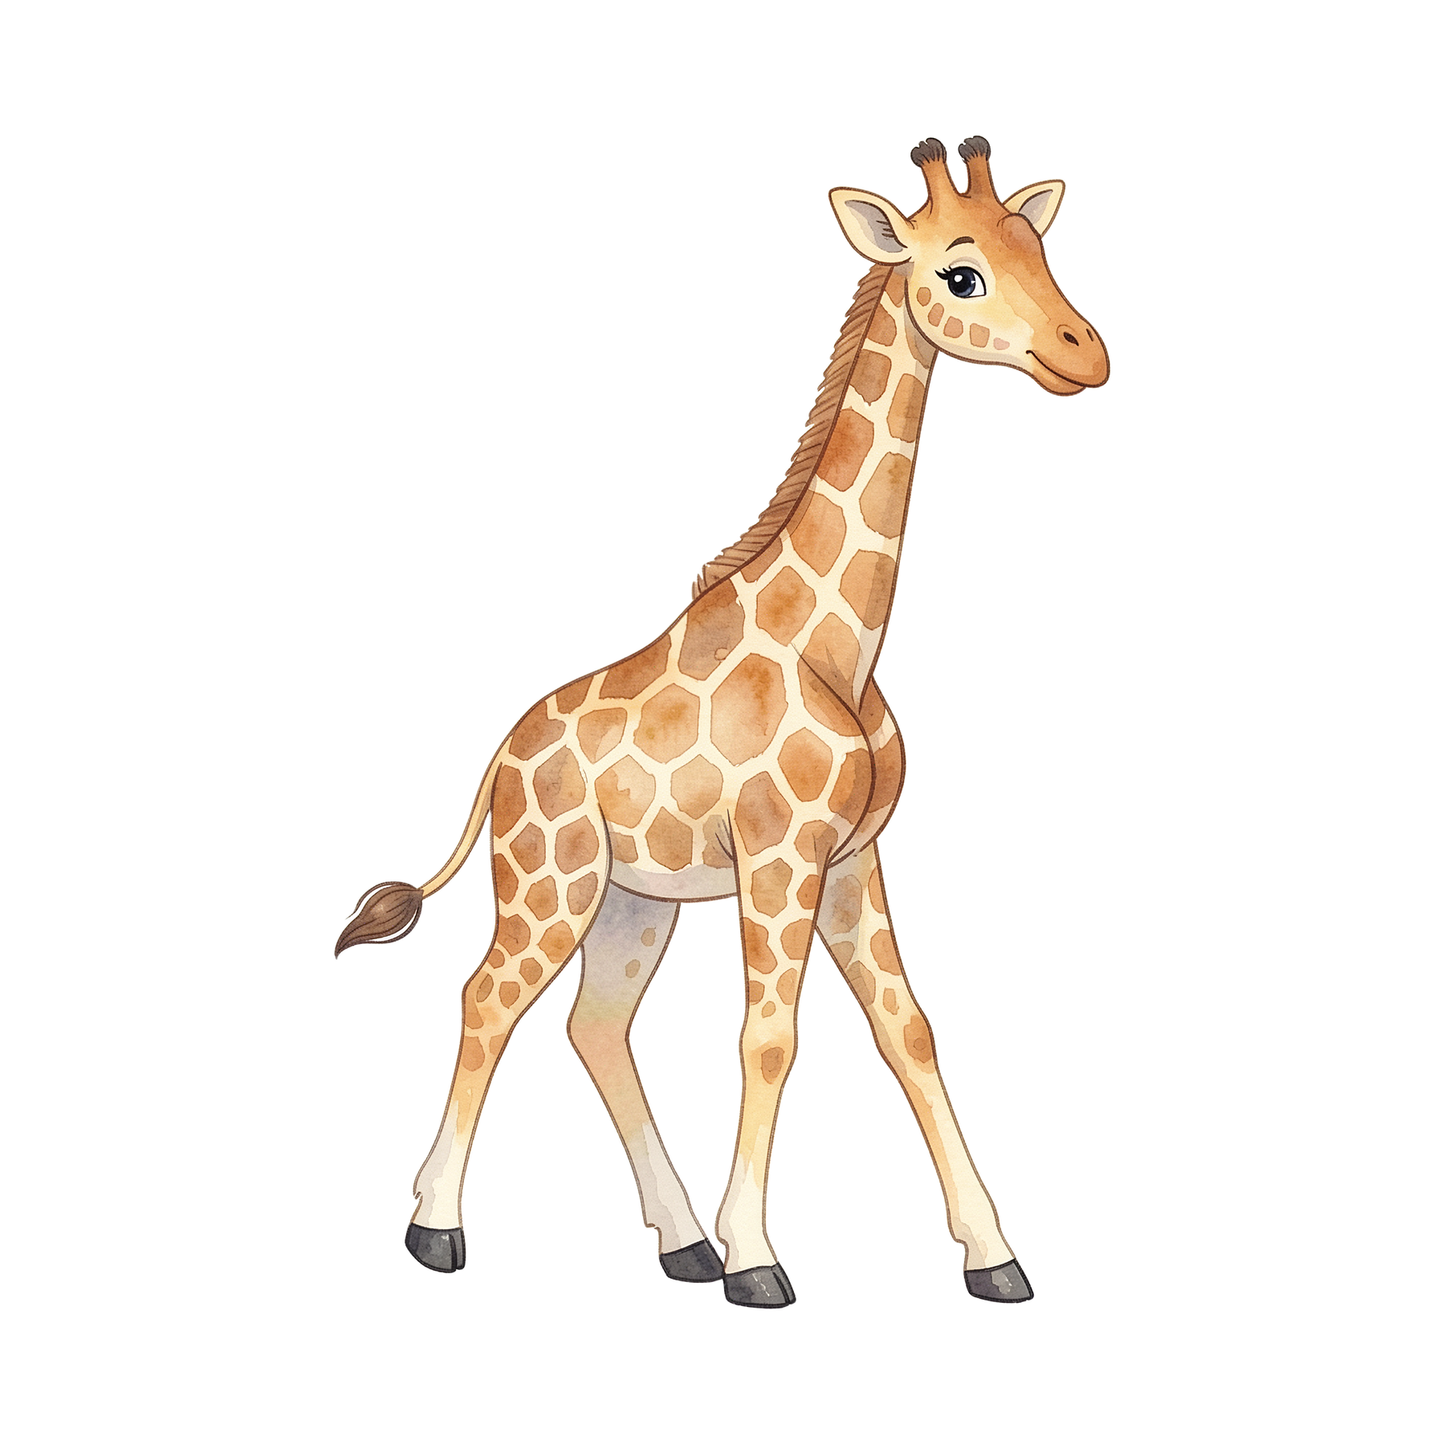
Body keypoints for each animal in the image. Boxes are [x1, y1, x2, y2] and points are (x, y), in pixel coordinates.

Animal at [337, 135, 1108, 1307]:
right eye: (962, 273)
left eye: (1042, 250)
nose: (1086, 353)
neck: (833, 639)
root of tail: (499, 759)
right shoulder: (780, 854)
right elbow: (769, 1036)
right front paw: (759, 1257)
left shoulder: (850, 857)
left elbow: (909, 1029)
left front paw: (993, 1254)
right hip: (550, 879)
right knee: (485, 998)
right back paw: (438, 1228)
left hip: (632, 899)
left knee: (593, 1025)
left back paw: (680, 1241)